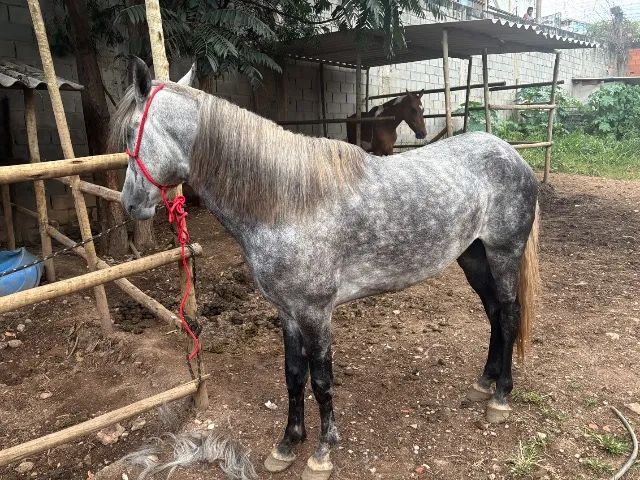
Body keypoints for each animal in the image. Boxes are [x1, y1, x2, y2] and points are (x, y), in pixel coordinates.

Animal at [111, 57, 539, 480]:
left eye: (132, 132)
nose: (130, 203)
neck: (287, 203)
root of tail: (512, 155)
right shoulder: (287, 312)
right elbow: (293, 374)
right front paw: (287, 444)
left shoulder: (316, 312)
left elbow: (320, 379)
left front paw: (321, 453)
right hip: (473, 257)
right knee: (494, 313)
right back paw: (484, 383)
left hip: (503, 253)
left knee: (509, 313)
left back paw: (501, 397)